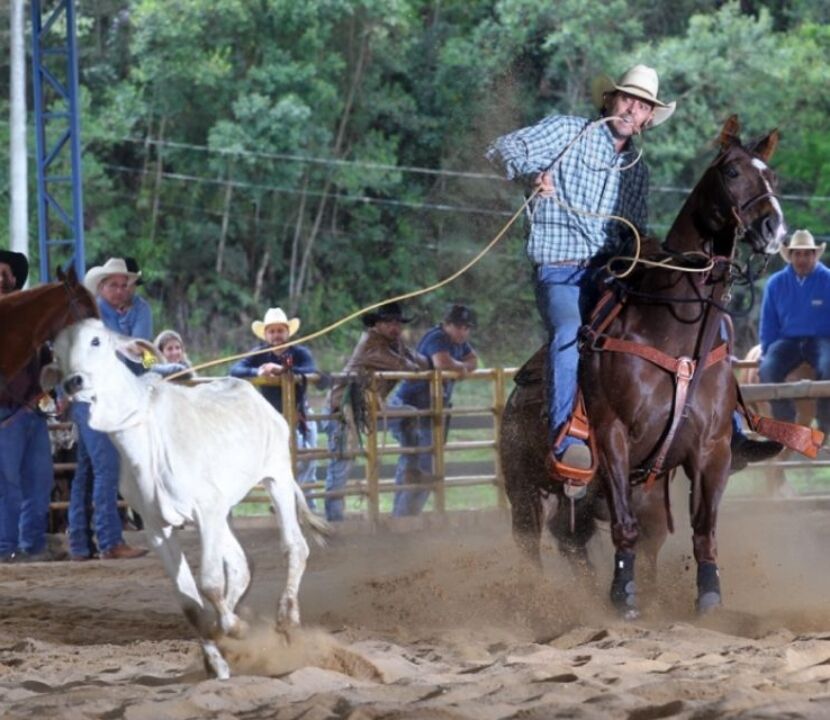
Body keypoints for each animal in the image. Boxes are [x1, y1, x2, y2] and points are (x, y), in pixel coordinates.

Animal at [500, 115, 788, 616]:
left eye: (771, 176)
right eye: (732, 172)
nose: (773, 226)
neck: (670, 333)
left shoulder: (709, 451)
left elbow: (702, 530)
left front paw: (707, 596)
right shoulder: (613, 438)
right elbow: (625, 527)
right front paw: (624, 595)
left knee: (574, 537)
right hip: (524, 486)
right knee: (531, 540)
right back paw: (543, 599)